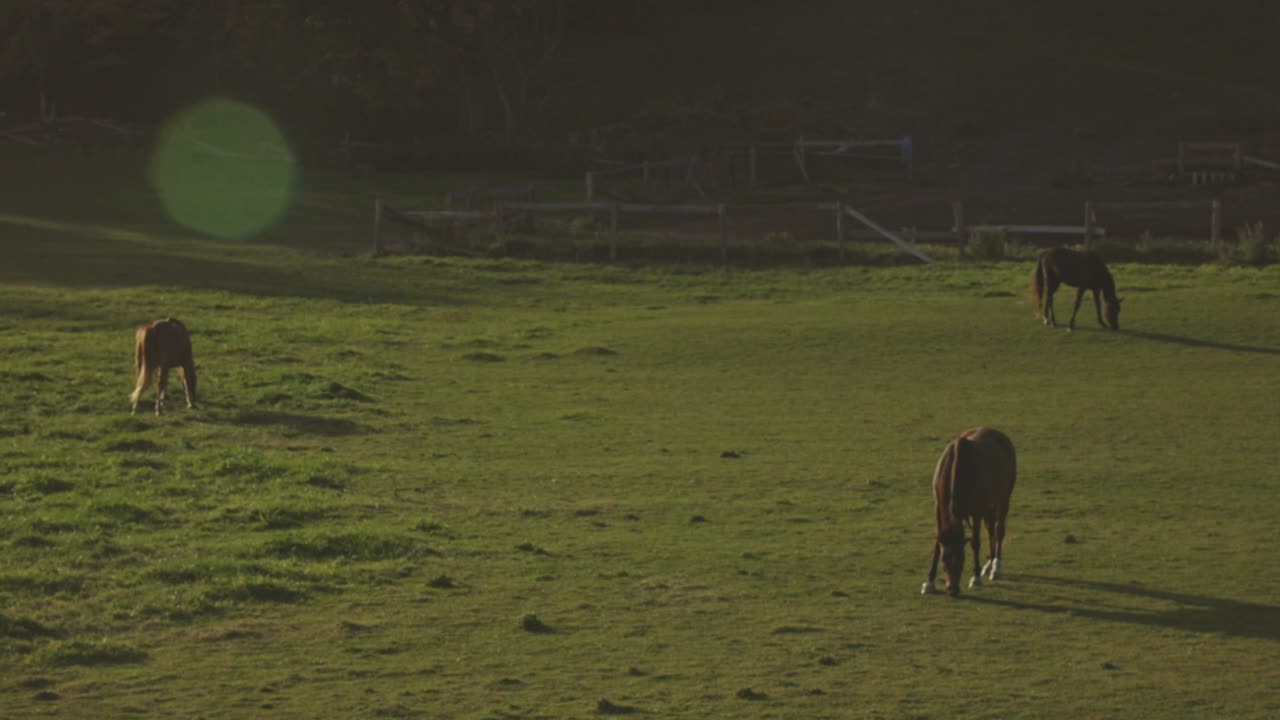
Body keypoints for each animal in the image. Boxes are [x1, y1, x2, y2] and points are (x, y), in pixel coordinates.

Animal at [922, 427, 1016, 597]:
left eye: (962, 559)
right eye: (944, 560)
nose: (952, 590)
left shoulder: (976, 511)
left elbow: (975, 542)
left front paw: (976, 577)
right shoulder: (938, 508)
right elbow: (937, 545)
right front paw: (929, 582)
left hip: (1003, 497)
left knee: (998, 530)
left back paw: (996, 567)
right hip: (989, 506)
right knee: (991, 529)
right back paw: (989, 564)